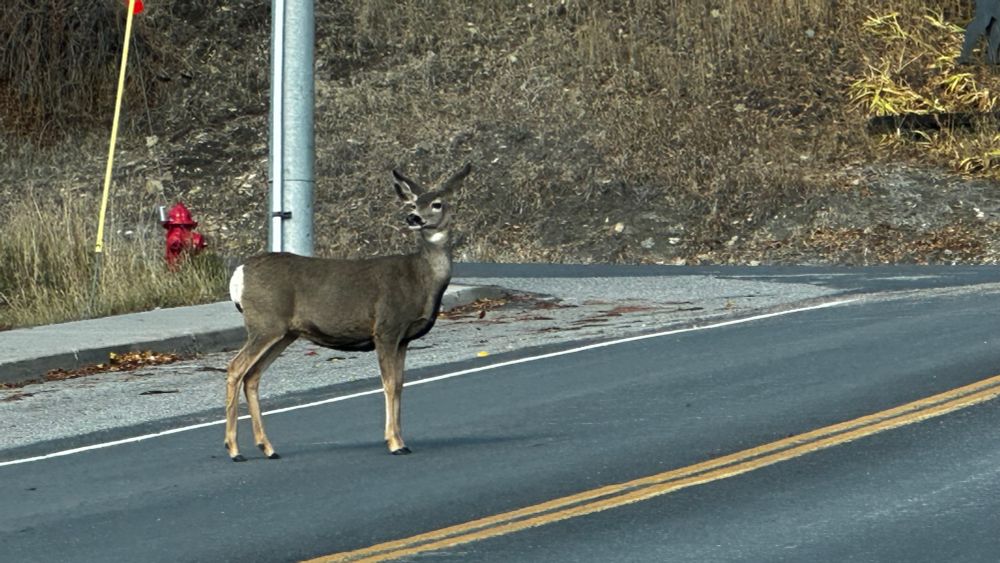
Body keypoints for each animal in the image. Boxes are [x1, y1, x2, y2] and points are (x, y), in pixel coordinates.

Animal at [224, 163, 471, 462]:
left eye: (436, 203)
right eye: (414, 202)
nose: (413, 217)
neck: (421, 279)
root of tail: (239, 274)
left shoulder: (403, 338)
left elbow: (400, 384)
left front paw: (402, 439)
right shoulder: (386, 327)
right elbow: (389, 383)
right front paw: (394, 442)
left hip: (284, 332)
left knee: (252, 376)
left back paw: (268, 447)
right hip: (265, 323)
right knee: (235, 368)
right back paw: (234, 449)